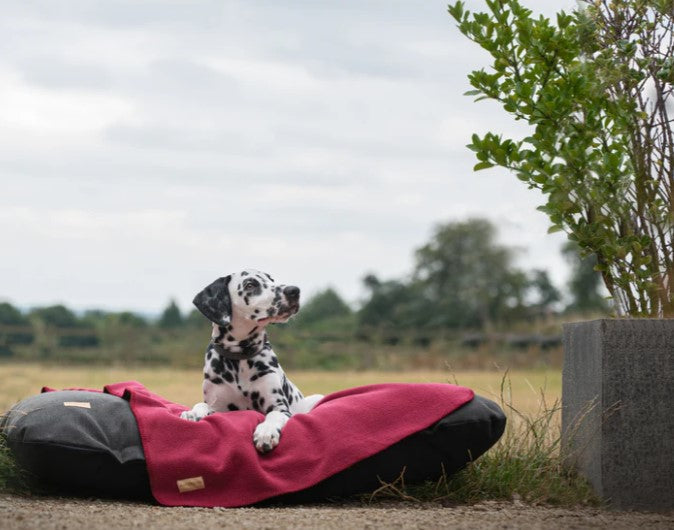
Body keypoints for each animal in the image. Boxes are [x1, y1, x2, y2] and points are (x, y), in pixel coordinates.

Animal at [181, 270, 322, 452]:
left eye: (272, 280)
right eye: (250, 285)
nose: (294, 291)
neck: (238, 359)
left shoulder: (279, 407)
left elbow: (273, 415)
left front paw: (266, 432)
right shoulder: (219, 407)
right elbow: (202, 405)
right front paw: (193, 413)